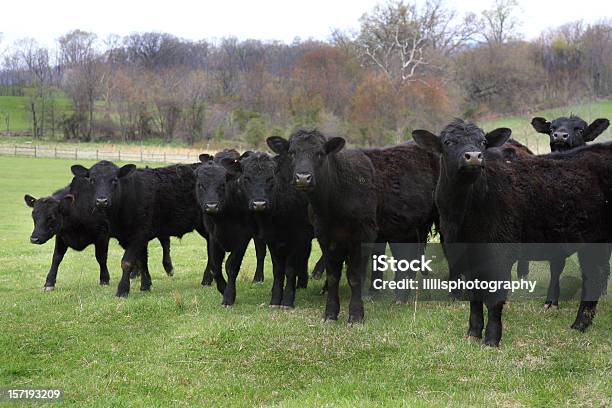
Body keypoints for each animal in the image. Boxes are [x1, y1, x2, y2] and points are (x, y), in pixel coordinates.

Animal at [68, 159, 208, 296]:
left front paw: (122, 290)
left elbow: (127, 262)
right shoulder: (134, 237)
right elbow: (141, 261)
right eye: (92, 180)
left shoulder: (139, 234)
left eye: (114, 180)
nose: (101, 201)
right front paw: (145, 285)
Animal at [235, 151, 310, 308]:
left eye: (270, 178)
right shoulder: (271, 239)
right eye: (247, 178)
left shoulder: (297, 238)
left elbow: (290, 269)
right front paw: (275, 299)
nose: (259, 204)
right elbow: (278, 269)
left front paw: (287, 301)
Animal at [268, 129, 440, 324]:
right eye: (292, 153)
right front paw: (330, 314)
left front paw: (356, 315)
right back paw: (401, 297)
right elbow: (333, 276)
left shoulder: (363, 235)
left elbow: (355, 276)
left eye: (320, 153)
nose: (303, 178)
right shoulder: (325, 236)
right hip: (405, 229)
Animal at [412, 119, 612, 346]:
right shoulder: (466, 253)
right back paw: (582, 324)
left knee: (594, 276)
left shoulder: (501, 251)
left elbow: (494, 297)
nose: (474, 156)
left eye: (483, 142)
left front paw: (492, 339)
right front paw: (473, 333)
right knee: (595, 275)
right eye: (448, 142)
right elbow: (474, 295)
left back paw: (579, 323)